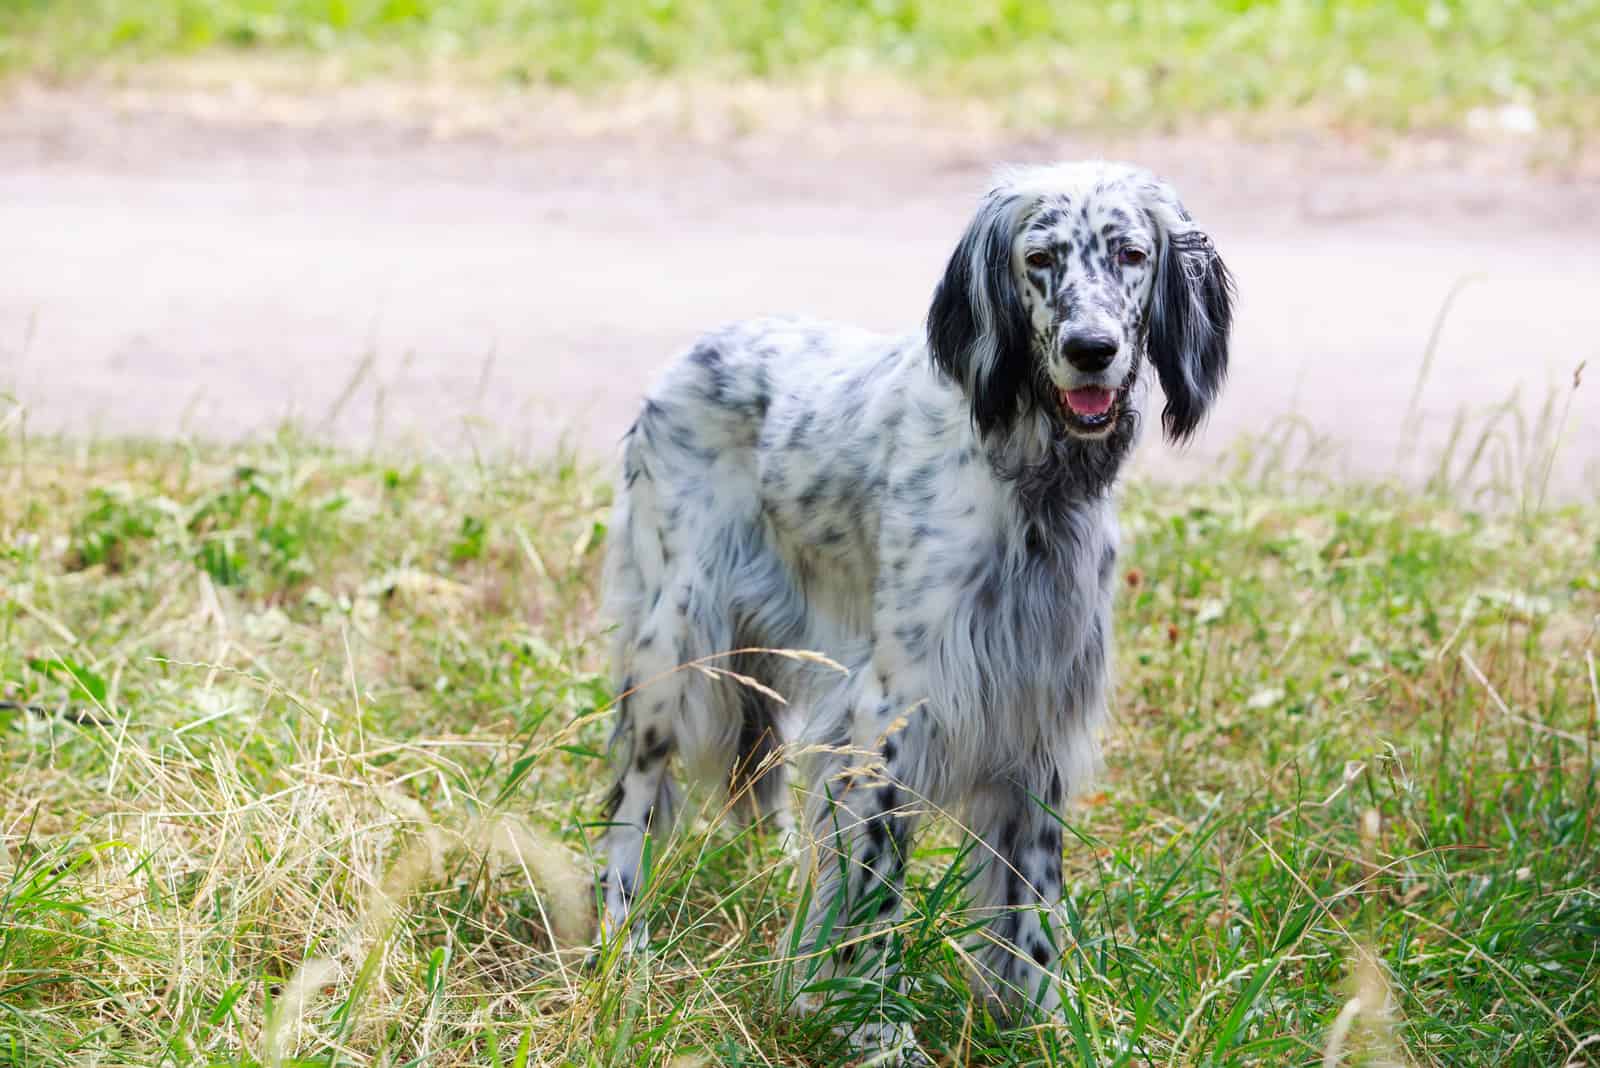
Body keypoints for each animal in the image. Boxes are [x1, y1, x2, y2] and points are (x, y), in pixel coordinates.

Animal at [595, 158, 1228, 1061]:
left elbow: (1031, 914)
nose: (1092, 351)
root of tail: (691, 354)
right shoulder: (890, 719)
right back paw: (620, 942)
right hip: (673, 644)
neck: (1028, 485)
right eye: (1040, 259)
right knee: (632, 801)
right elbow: (875, 902)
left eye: (1132, 254)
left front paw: (1045, 1026)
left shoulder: (1035, 722)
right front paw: (872, 1026)